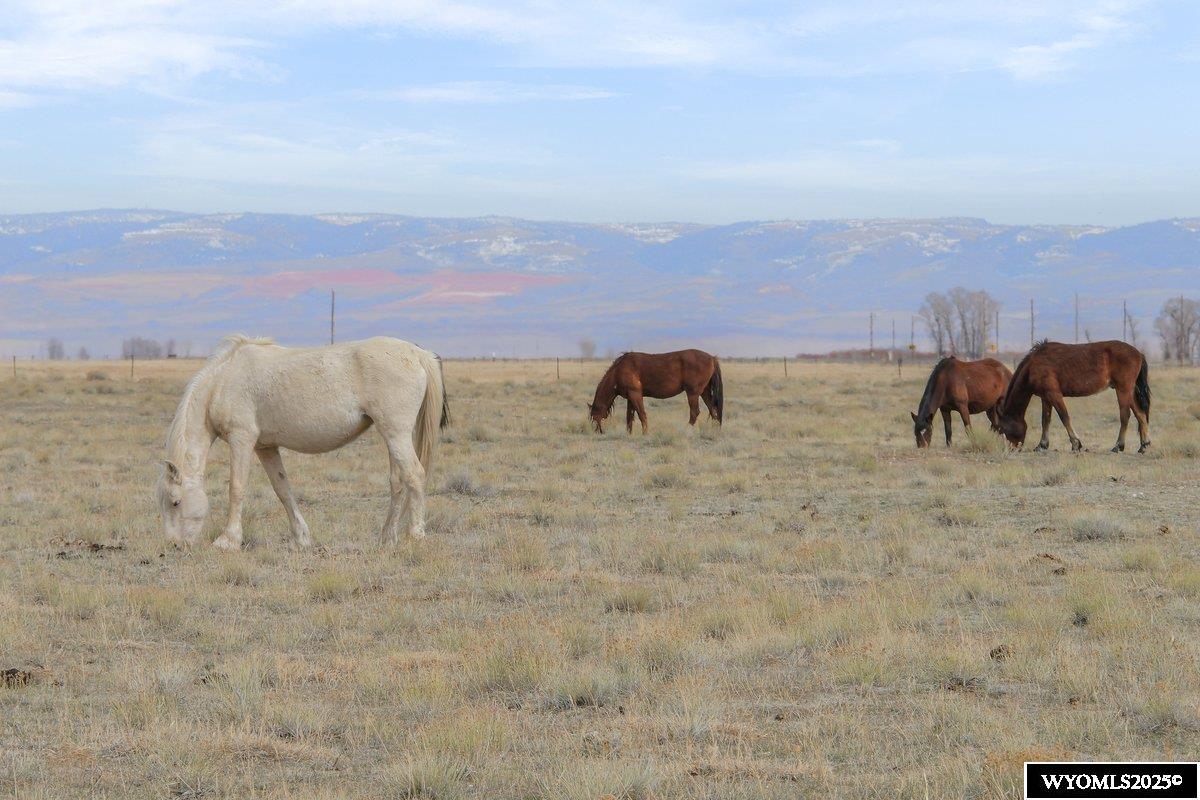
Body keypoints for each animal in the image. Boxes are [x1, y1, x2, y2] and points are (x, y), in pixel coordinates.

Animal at [157, 335, 449, 550]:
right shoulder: (265, 448)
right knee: (398, 481)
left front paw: (227, 541)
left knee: (414, 475)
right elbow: (283, 490)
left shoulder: (242, 439)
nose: (174, 546)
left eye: (175, 502)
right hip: (392, 436)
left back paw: (415, 536)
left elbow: (236, 488)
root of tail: (417, 353)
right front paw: (301, 539)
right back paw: (387, 538)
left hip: (396, 433)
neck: (223, 381)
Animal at [588, 350, 723, 434]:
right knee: (713, 410)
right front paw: (629, 433)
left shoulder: (635, 394)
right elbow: (629, 417)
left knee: (695, 412)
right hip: (704, 392)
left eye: (593, 416)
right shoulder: (630, 397)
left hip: (693, 393)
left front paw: (645, 433)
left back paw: (686, 430)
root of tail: (712, 358)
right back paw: (715, 430)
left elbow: (641, 414)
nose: (598, 431)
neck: (619, 370)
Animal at [995, 340, 1150, 453]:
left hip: (1123, 390)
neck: (1033, 366)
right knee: (1140, 415)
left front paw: (1076, 444)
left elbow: (1064, 417)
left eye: (1004, 428)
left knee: (1125, 415)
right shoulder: (1045, 397)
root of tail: (1138, 353)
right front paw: (1042, 445)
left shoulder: (1054, 394)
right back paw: (1143, 446)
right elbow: (1045, 420)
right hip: (1129, 391)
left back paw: (1118, 446)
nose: (1012, 449)